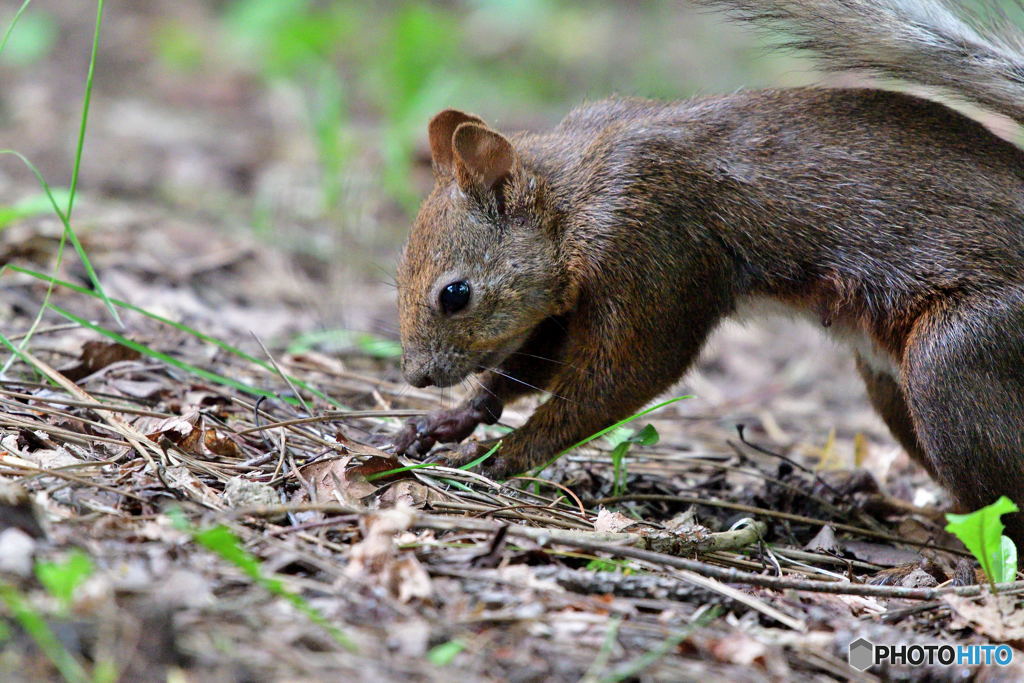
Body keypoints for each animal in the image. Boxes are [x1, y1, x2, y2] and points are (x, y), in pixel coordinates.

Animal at [393, 0, 1024, 544]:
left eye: (455, 294)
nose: (417, 376)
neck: (578, 193)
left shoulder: (650, 242)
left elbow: (624, 375)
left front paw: (497, 456)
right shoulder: (573, 300)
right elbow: (534, 360)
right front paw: (450, 420)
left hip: (953, 361)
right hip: (891, 382)